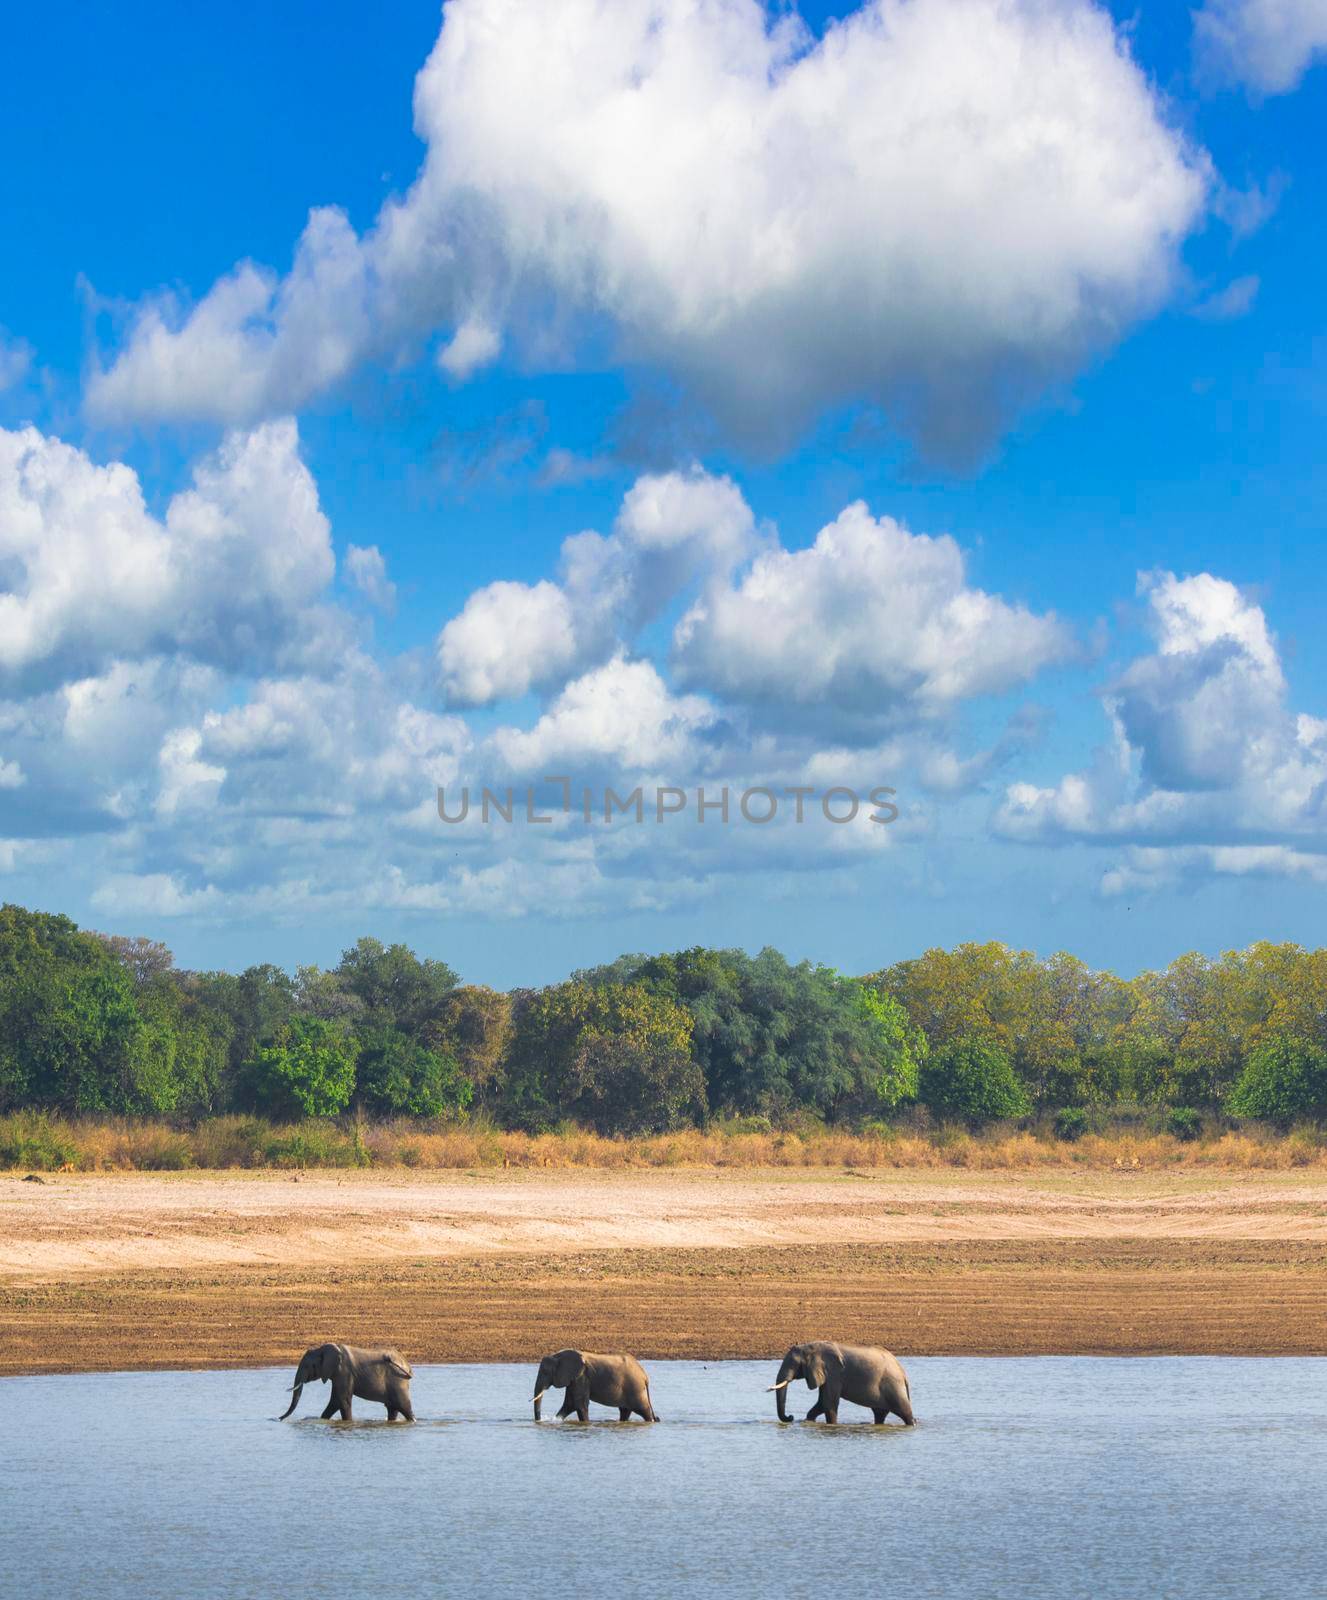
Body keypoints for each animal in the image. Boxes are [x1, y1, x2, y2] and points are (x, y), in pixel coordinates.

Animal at [281, 1344, 416, 1420]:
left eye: (307, 1366)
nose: (279, 1418)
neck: (321, 1349)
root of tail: (408, 1365)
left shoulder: (344, 1372)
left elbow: (342, 1400)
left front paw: (348, 1423)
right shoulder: (337, 1374)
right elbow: (335, 1401)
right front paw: (322, 1420)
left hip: (398, 1381)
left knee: (404, 1407)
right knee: (393, 1408)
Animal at [765, 1337, 909, 1427]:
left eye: (794, 1364)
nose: (790, 1417)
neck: (811, 1346)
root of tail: (903, 1372)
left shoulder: (834, 1374)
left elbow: (829, 1403)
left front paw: (832, 1425)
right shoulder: (826, 1375)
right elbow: (821, 1403)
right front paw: (809, 1422)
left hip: (893, 1385)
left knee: (905, 1412)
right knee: (880, 1414)